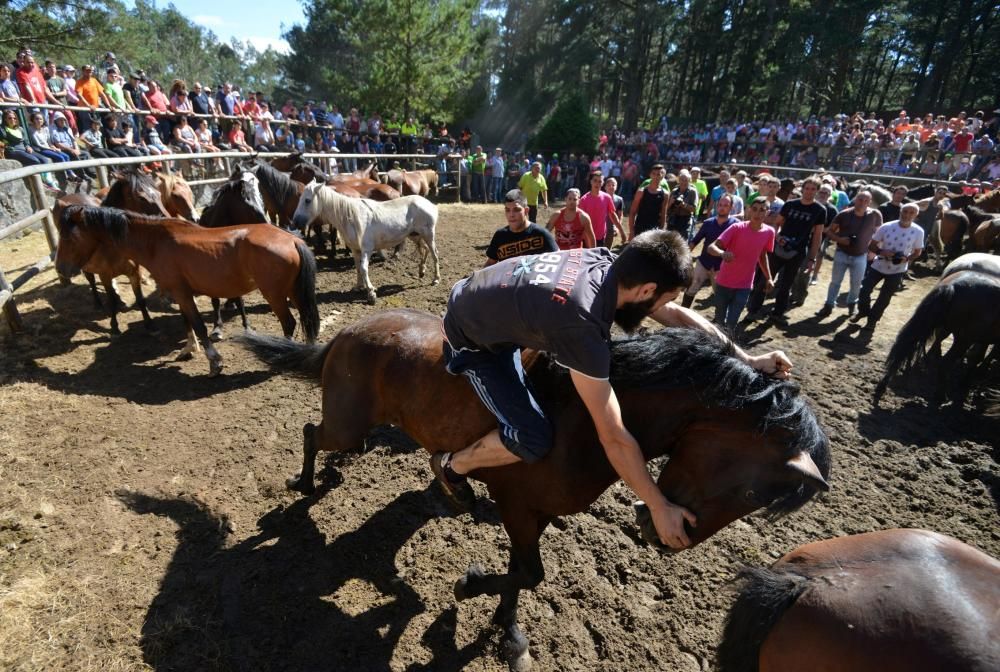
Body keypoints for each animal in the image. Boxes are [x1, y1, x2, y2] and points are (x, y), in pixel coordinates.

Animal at [55, 205, 320, 376]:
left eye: (68, 238)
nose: (61, 269)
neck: (155, 242)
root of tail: (292, 239)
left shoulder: (182, 293)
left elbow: (199, 325)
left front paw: (214, 362)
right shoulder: (179, 291)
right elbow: (187, 322)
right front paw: (188, 349)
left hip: (274, 294)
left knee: (289, 323)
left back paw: (280, 355)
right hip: (294, 291)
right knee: (306, 320)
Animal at [238, 310, 832, 672]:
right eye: (755, 493)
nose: (668, 534)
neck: (584, 420)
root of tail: (347, 333)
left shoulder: (537, 510)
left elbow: (524, 573)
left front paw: (507, 629)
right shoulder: (519, 507)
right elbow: (529, 573)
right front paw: (470, 589)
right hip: (348, 423)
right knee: (312, 432)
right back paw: (307, 484)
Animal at [288, 180, 436, 304]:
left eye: (307, 200)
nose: (296, 222)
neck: (350, 217)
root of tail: (428, 203)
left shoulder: (367, 249)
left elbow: (364, 268)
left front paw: (371, 293)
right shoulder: (355, 249)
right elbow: (358, 267)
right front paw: (358, 286)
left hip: (428, 235)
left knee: (434, 254)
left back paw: (436, 279)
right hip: (415, 235)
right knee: (424, 249)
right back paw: (421, 271)